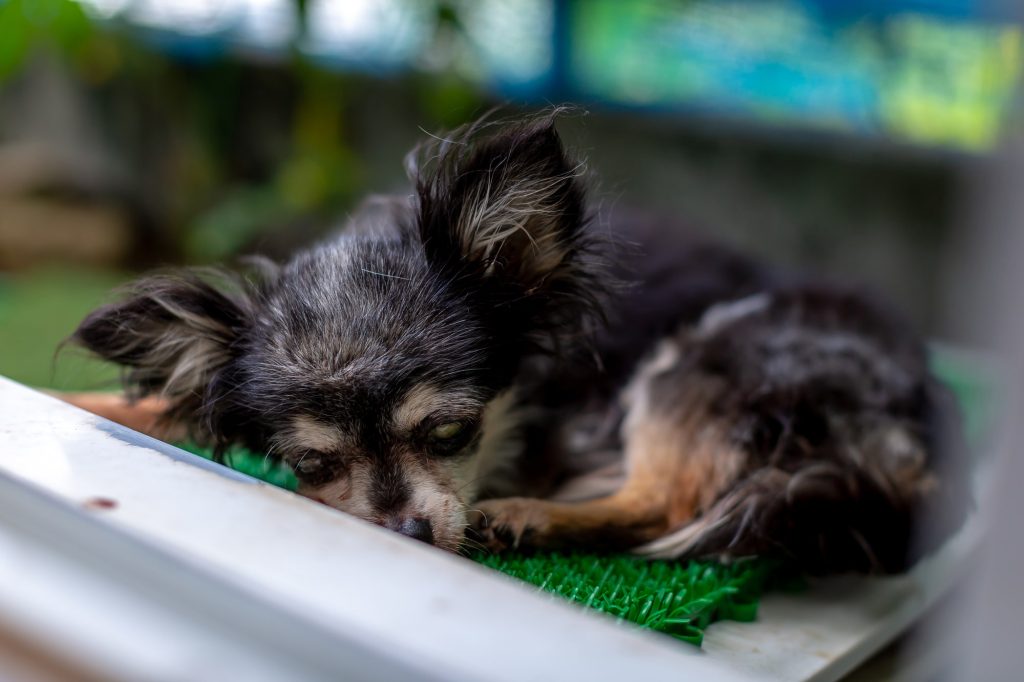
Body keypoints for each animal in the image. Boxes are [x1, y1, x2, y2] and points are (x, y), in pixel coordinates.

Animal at [59, 114, 970, 569]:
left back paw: (529, 518)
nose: (405, 533)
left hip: (709, 359)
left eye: (450, 431)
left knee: (661, 504)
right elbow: (151, 406)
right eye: (314, 465)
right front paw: (80, 400)